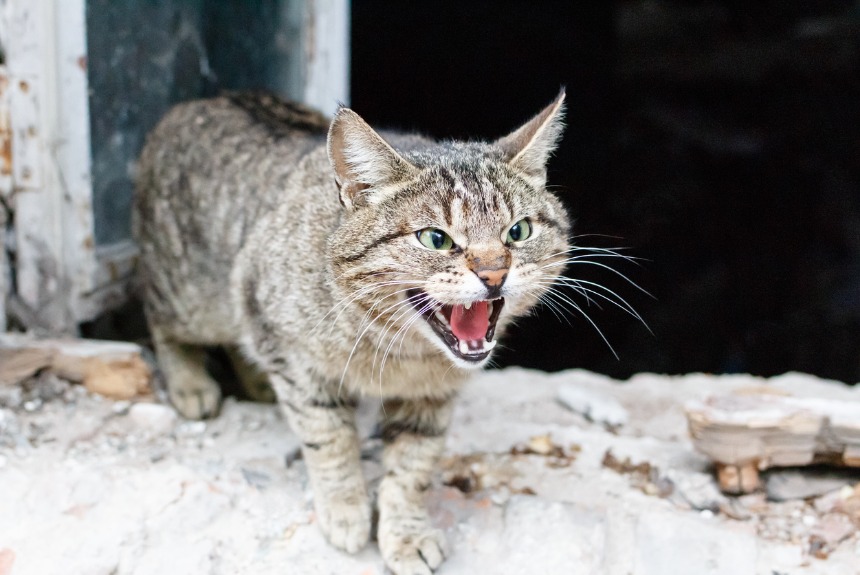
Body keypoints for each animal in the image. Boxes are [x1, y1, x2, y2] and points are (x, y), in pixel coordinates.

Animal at [134, 90, 572, 575]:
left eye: (518, 231)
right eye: (435, 239)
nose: (495, 273)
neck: (401, 352)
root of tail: (199, 99)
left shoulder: (431, 399)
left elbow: (413, 468)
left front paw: (405, 534)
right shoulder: (295, 360)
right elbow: (329, 439)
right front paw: (345, 510)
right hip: (192, 297)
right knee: (159, 315)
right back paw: (190, 383)